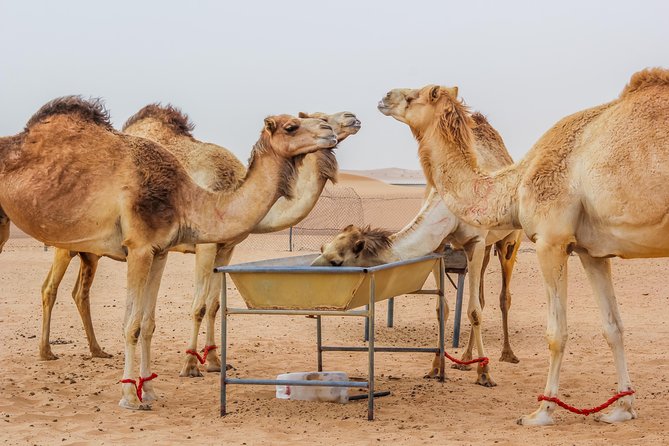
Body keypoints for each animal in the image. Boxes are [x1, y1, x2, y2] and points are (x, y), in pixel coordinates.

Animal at [0, 96, 337, 409]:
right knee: (51, 288)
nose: (330, 130)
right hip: (56, 244)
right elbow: (133, 324)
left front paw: (149, 390)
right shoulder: (140, 248)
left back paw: (92, 351)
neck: (187, 199)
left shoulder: (160, 251)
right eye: (292, 126)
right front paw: (130, 396)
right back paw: (48, 352)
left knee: (77, 292)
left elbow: (149, 324)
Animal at [311, 113, 523, 387]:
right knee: (483, 297)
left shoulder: (475, 241)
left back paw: (507, 355)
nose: (311, 275)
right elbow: (442, 309)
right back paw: (465, 359)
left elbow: (474, 311)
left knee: (502, 297)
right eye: (322, 248)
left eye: (336, 260)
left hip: (508, 241)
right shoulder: (440, 246)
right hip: (486, 250)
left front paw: (485, 374)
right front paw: (435, 368)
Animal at [376, 67, 669, 425]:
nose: (384, 96)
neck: (514, 184)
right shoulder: (592, 251)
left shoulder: (550, 240)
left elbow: (556, 333)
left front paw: (542, 410)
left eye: (414, 96)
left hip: (512, 247)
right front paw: (622, 408)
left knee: (501, 299)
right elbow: (613, 327)